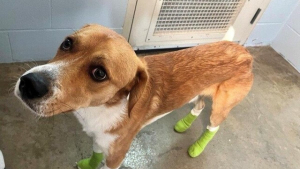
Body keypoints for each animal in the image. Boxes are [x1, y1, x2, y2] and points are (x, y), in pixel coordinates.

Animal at [14, 24, 253, 169]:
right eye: (67, 43)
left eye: (99, 73)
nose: (29, 84)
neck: (99, 108)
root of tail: (242, 51)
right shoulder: (100, 139)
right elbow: (95, 154)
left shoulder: (117, 155)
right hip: (195, 93)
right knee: (200, 105)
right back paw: (184, 124)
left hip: (221, 107)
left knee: (213, 126)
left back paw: (197, 147)